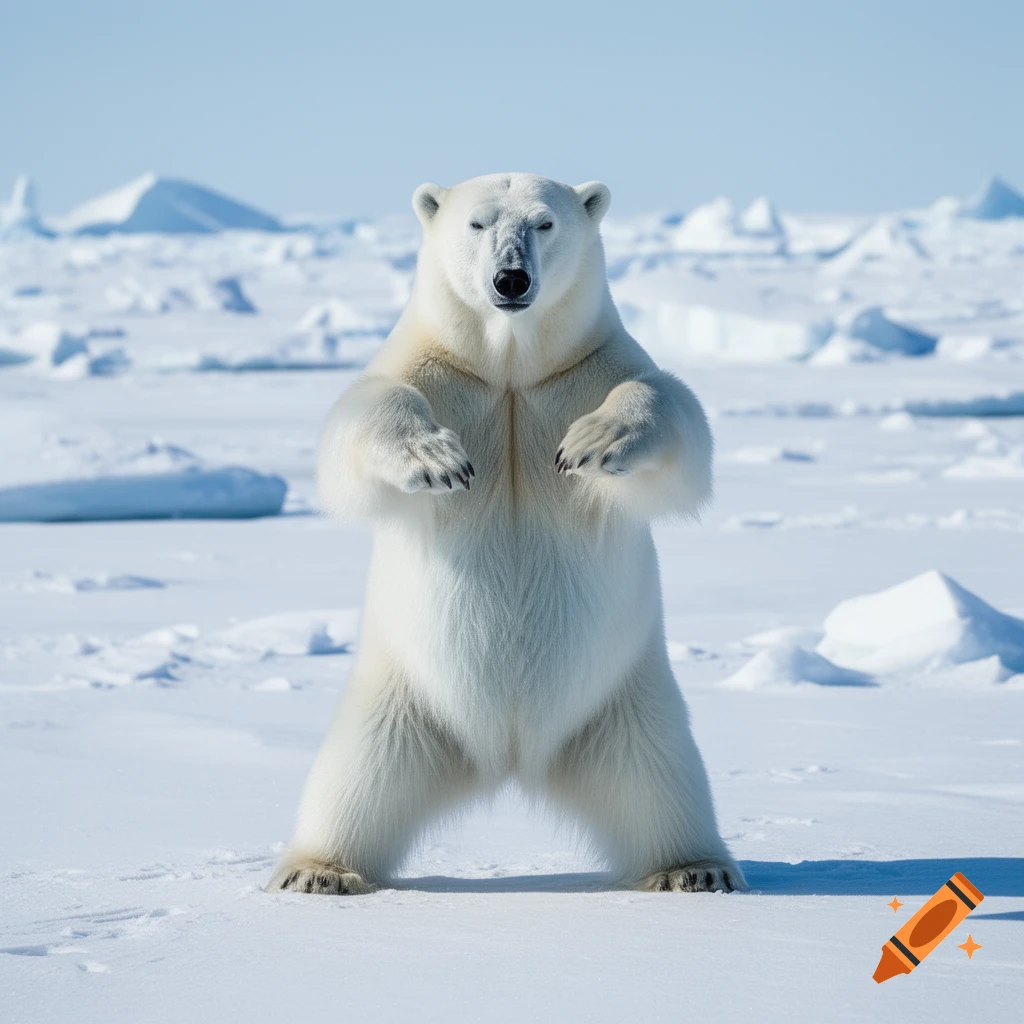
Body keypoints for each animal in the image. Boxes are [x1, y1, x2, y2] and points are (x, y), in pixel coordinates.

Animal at [268, 173, 746, 896]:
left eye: (545, 223)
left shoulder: (592, 367)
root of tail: (513, 756)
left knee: (663, 781)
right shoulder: (434, 369)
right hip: (400, 702)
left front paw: (593, 442)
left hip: (627, 702)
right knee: (356, 780)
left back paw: (693, 868)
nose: (511, 278)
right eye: (477, 223)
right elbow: (359, 420)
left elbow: (676, 419)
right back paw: (318, 869)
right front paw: (437, 461)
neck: (513, 366)